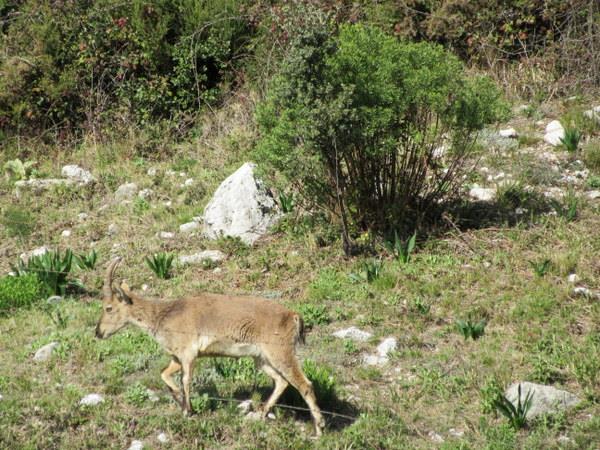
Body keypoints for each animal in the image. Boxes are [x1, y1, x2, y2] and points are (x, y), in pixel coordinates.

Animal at [95, 258, 326, 434]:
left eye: (108, 308)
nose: (98, 332)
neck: (164, 316)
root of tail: (293, 316)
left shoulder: (188, 354)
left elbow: (186, 380)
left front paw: (188, 411)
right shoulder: (177, 357)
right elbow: (164, 374)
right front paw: (180, 401)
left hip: (280, 352)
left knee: (304, 384)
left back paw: (319, 429)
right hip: (262, 358)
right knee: (281, 381)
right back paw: (260, 414)